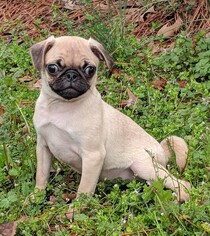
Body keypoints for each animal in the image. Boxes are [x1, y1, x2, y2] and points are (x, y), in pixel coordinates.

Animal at [30, 35, 190, 208]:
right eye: (52, 68)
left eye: (90, 70)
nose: (71, 75)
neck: (62, 105)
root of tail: (161, 152)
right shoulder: (43, 146)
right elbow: (41, 176)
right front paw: (36, 197)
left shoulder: (93, 156)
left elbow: (84, 190)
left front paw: (75, 210)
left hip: (144, 166)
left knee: (182, 183)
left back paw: (180, 199)